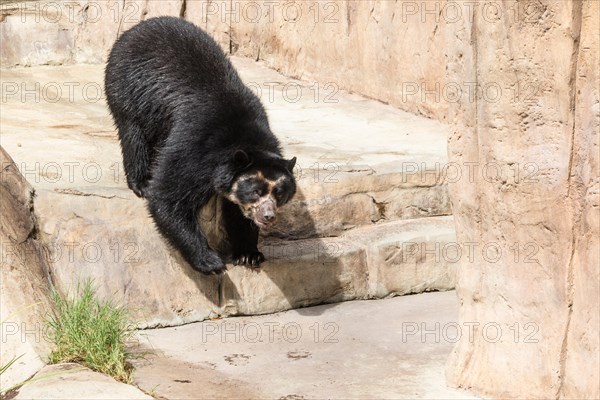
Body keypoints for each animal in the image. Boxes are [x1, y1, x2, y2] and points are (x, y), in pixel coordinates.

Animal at [106, 15, 298, 276]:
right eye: (256, 192)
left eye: (279, 193)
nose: (267, 216)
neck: (243, 139)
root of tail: (137, 27)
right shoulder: (196, 146)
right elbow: (169, 196)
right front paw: (211, 262)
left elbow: (236, 212)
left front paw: (249, 254)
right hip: (129, 89)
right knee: (133, 135)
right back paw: (141, 182)